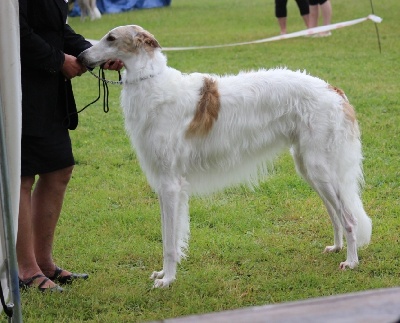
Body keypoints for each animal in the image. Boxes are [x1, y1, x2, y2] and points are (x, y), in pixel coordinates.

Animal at [78, 25, 372, 288]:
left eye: (111, 38)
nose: (80, 58)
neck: (153, 84)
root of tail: (332, 89)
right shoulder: (165, 185)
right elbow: (169, 236)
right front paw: (163, 274)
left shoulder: (171, 184)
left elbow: (170, 242)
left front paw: (168, 280)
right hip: (309, 167)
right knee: (335, 214)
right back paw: (337, 247)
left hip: (319, 168)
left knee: (349, 219)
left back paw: (351, 261)